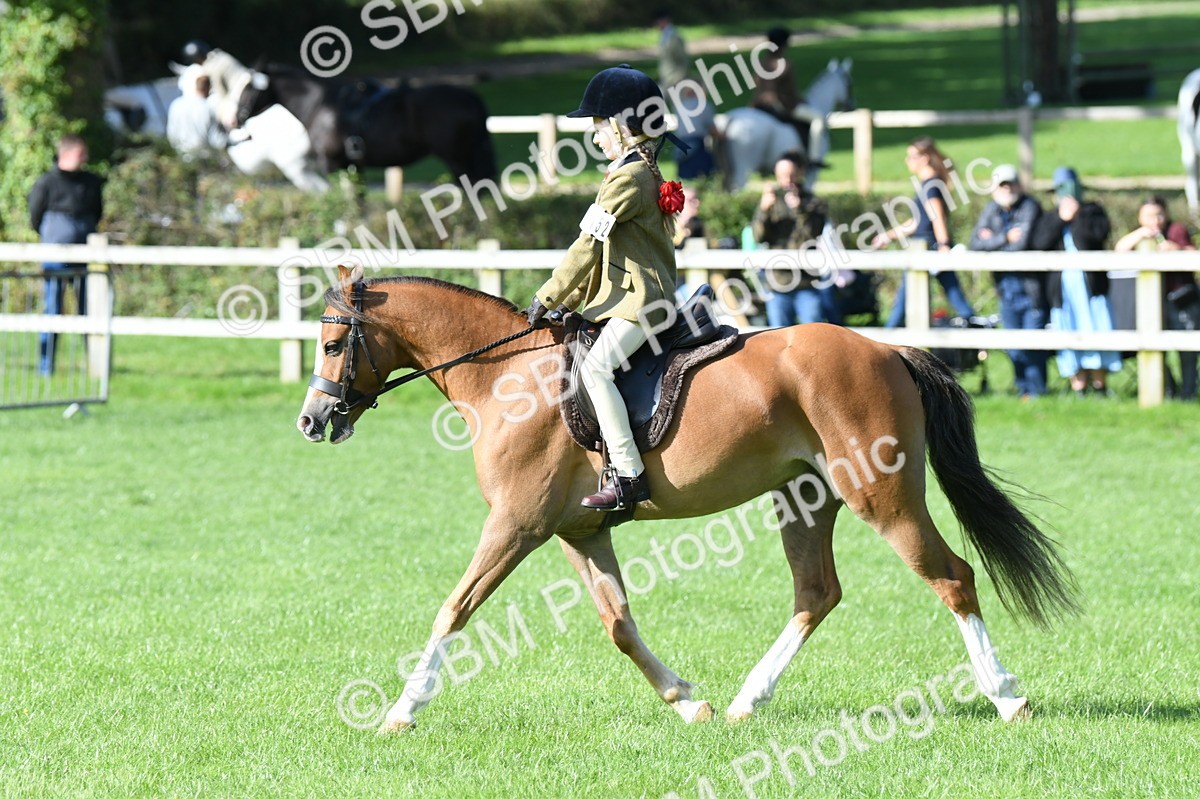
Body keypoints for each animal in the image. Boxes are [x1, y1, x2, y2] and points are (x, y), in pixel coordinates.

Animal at [236, 64, 497, 186]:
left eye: (248, 87)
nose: (236, 117)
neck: (319, 103)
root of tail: (471, 97)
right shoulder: (354, 165)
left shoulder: (332, 163)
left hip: (457, 159)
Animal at [296, 266, 1079, 732]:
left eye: (333, 344)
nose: (311, 419)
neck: (506, 375)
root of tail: (888, 350)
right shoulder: (579, 531)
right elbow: (618, 624)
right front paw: (686, 699)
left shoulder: (516, 524)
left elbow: (453, 609)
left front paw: (401, 709)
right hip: (805, 499)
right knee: (816, 593)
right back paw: (744, 699)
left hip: (880, 496)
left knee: (952, 578)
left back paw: (1007, 694)